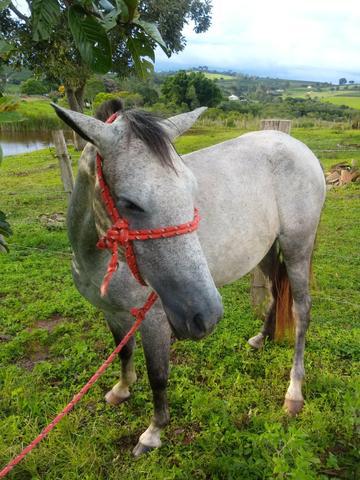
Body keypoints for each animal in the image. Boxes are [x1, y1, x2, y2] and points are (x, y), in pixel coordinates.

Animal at [53, 103, 326, 456]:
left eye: (192, 191)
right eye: (129, 203)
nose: (205, 315)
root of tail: (298, 147)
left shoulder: (153, 319)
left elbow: (158, 374)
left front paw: (153, 432)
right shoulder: (111, 312)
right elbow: (123, 351)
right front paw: (121, 389)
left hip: (297, 247)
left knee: (301, 310)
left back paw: (293, 391)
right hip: (264, 249)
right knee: (278, 291)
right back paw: (261, 338)